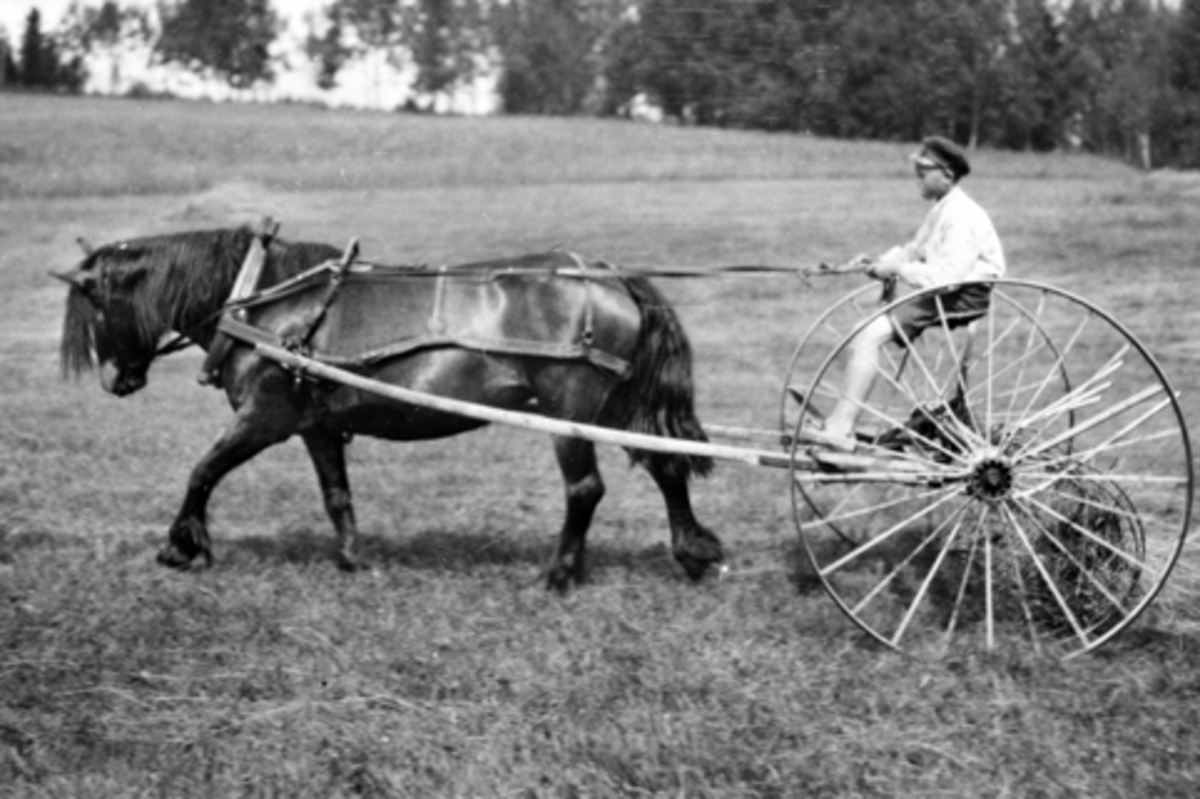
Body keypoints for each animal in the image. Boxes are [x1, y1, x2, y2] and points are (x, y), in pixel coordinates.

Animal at [58, 224, 720, 585]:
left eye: (97, 306)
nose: (113, 380)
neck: (263, 302)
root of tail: (610, 274)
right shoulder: (316, 425)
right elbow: (336, 495)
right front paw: (355, 559)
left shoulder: (265, 417)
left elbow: (203, 470)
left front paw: (180, 545)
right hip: (616, 405)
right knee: (665, 465)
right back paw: (693, 553)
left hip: (571, 412)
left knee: (585, 489)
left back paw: (558, 575)